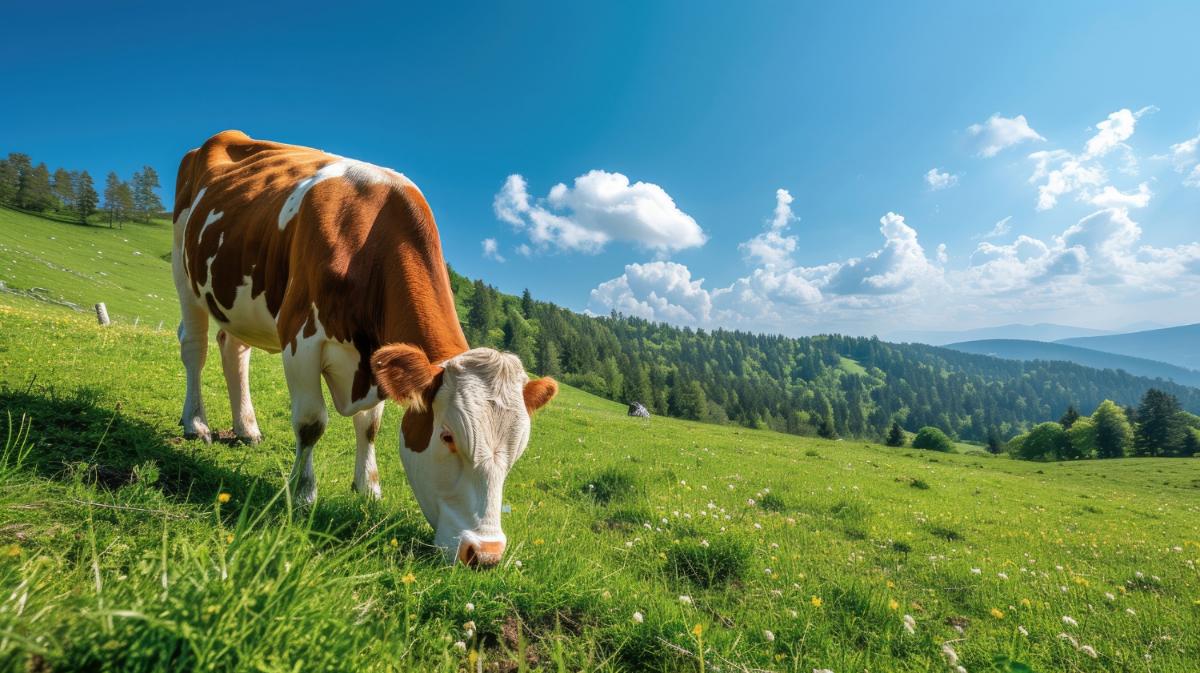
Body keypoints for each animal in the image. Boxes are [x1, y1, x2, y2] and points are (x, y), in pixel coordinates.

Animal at [171, 130, 557, 566]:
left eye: (518, 450)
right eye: (448, 436)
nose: (486, 554)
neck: (368, 238)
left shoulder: (378, 361)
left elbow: (369, 426)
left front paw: (368, 488)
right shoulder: (300, 338)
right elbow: (311, 423)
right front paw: (303, 493)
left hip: (238, 294)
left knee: (234, 350)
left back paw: (246, 428)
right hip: (184, 268)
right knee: (195, 346)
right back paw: (196, 423)